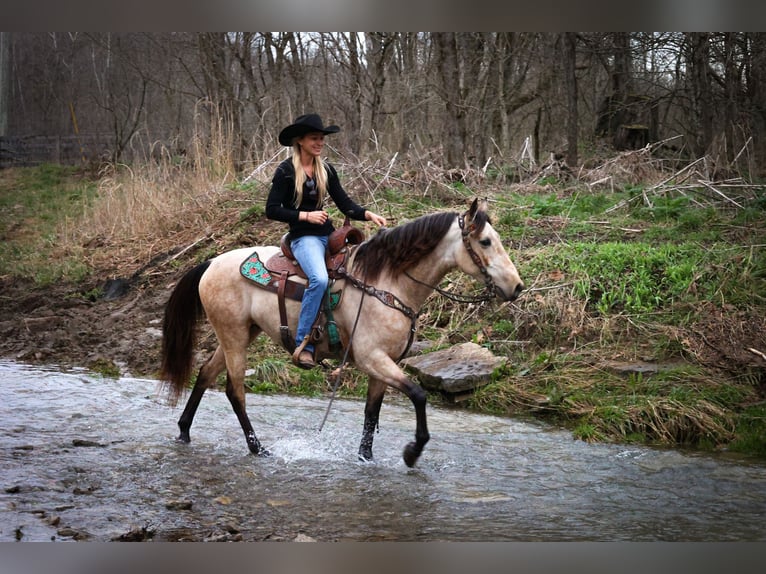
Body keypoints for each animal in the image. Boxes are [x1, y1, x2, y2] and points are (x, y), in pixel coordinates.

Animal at [159, 198, 524, 468]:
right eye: (486, 241)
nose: (517, 287)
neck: (387, 283)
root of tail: (211, 262)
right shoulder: (371, 358)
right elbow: (418, 395)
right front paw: (412, 452)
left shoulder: (383, 364)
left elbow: (371, 413)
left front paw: (366, 458)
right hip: (234, 335)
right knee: (234, 392)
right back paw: (258, 449)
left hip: (242, 333)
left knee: (205, 375)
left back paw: (184, 432)